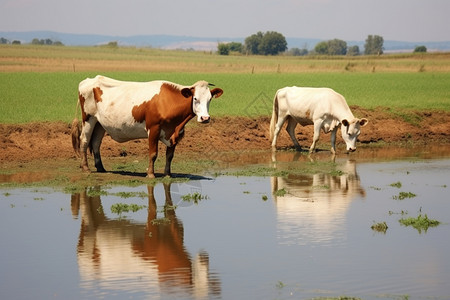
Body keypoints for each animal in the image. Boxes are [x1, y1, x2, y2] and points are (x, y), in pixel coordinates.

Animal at [70, 75, 223, 178]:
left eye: (209, 99)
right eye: (195, 98)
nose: (205, 118)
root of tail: (90, 80)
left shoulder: (174, 133)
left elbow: (170, 155)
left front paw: (168, 174)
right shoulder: (153, 129)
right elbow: (153, 154)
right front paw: (150, 174)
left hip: (100, 123)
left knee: (96, 143)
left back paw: (100, 167)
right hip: (88, 118)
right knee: (84, 140)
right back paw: (86, 168)